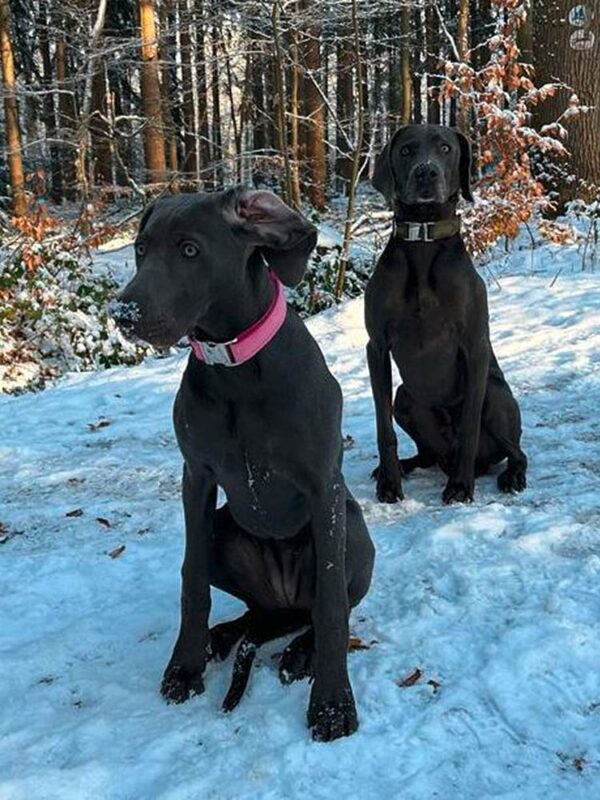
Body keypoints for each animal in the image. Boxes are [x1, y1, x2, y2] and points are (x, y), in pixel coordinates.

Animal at [112, 189, 372, 744]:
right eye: (141, 249)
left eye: (190, 250)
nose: (121, 313)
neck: (233, 366)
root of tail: (282, 599)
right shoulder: (197, 476)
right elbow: (190, 580)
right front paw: (185, 664)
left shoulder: (323, 486)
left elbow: (332, 605)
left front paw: (332, 704)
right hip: (224, 532)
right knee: (254, 613)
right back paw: (222, 638)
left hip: (354, 530)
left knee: (317, 608)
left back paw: (301, 652)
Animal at [364, 122, 528, 504]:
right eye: (406, 150)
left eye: (445, 148)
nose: (426, 173)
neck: (424, 240)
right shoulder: (376, 346)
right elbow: (383, 428)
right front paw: (389, 481)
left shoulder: (475, 345)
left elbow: (469, 426)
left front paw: (460, 486)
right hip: (405, 398)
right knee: (424, 451)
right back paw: (404, 466)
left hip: (497, 396)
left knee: (517, 452)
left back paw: (510, 475)